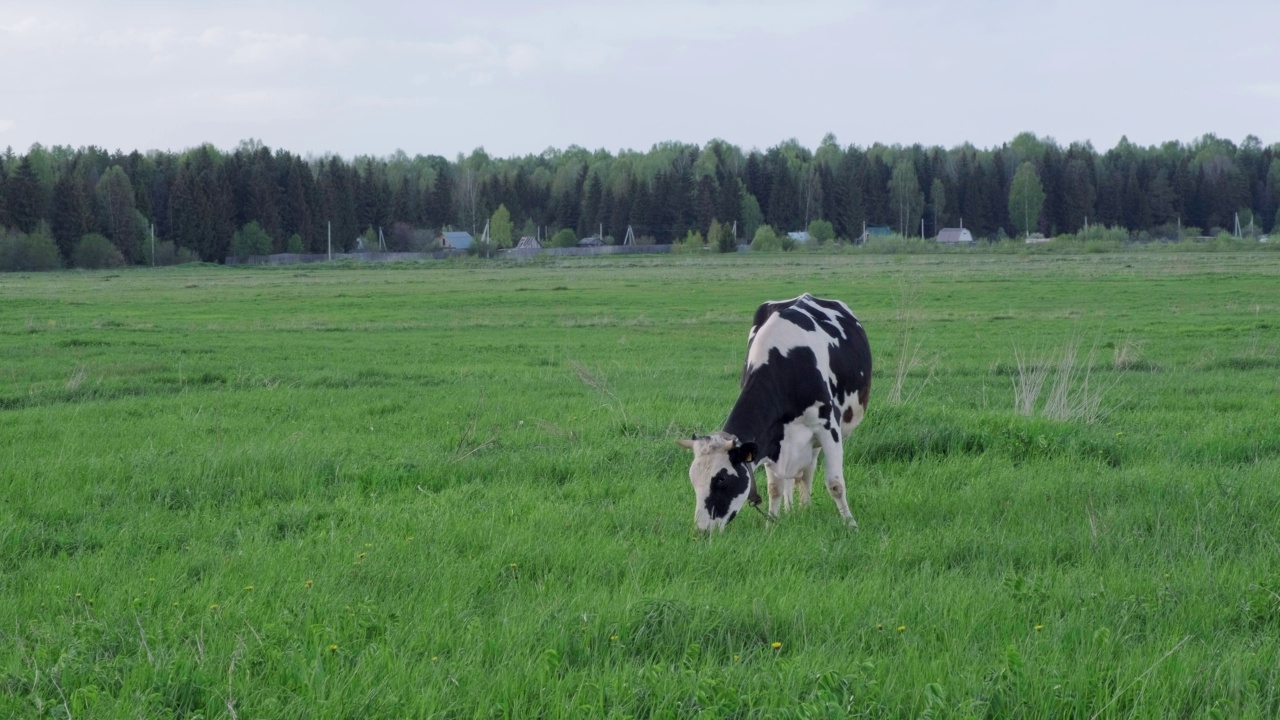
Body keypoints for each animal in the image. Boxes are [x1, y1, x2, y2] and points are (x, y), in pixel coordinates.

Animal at [680, 292, 870, 527]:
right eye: (693, 479)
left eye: (721, 479)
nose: (702, 529)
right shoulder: (771, 438)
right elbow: (775, 488)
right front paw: (771, 524)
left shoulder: (828, 427)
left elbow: (835, 484)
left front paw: (851, 524)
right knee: (799, 475)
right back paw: (796, 509)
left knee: (807, 472)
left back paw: (806, 508)